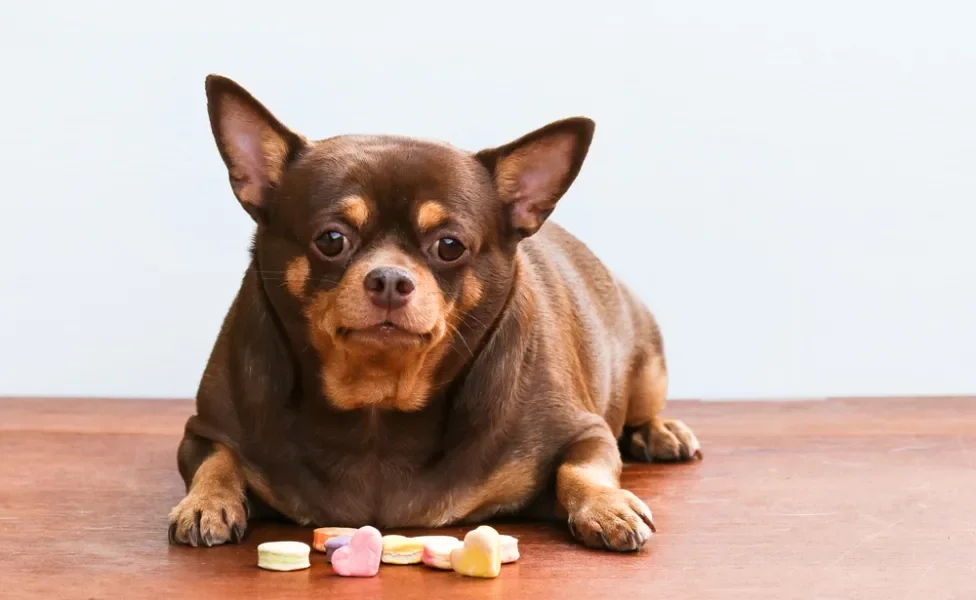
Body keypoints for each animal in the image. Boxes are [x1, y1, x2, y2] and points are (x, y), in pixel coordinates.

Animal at [168, 75, 700, 552]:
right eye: (331, 240)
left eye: (449, 246)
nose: (389, 279)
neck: (378, 404)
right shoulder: (204, 431)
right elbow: (216, 460)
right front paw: (207, 502)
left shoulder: (587, 432)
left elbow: (582, 466)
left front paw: (607, 506)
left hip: (647, 371)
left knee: (641, 412)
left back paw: (661, 431)